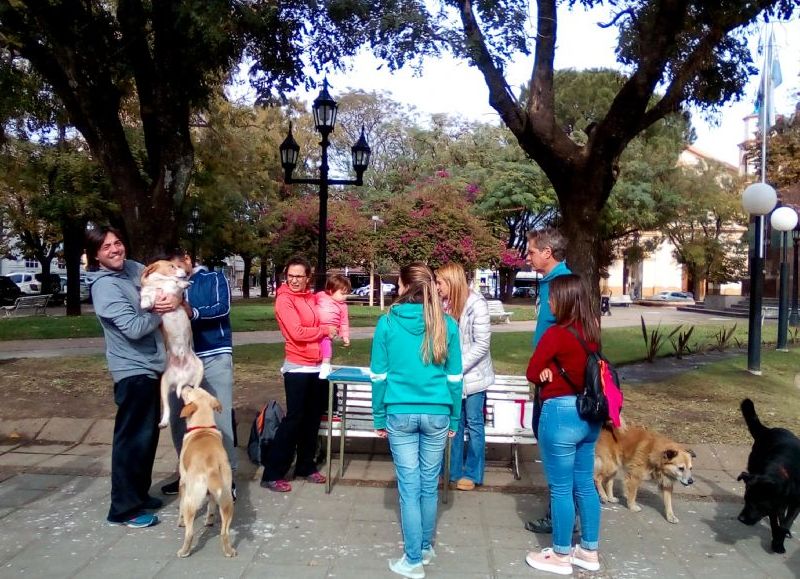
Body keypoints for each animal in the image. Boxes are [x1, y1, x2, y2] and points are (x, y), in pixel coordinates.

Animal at [140, 260, 205, 428]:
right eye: (172, 266)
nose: (186, 272)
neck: (160, 282)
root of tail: (182, 378)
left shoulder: (174, 293)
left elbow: (174, 284)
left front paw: (183, 283)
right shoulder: (151, 292)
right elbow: (147, 294)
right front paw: (145, 302)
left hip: (199, 369)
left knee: (196, 390)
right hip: (163, 386)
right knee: (168, 408)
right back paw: (163, 421)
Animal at [177, 388, 236, 560]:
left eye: (190, 391)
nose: (186, 385)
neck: (203, 428)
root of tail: (211, 465)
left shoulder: (183, 482)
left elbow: (180, 505)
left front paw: (180, 521)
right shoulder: (213, 494)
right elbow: (211, 504)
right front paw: (209, 520)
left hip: (191, 500)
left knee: (189, 532)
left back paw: (184, 551)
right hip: (227, 501)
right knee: (224, 532)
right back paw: (229, 551)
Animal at [736, 398, 800, 552]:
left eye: (758, 503)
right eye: (746, 500)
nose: (741, 519)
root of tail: (767, 430)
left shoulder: (795, 504)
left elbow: (786, 522)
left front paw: (779, 541)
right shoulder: (773, 505)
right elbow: (775, 523)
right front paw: (777, 542)